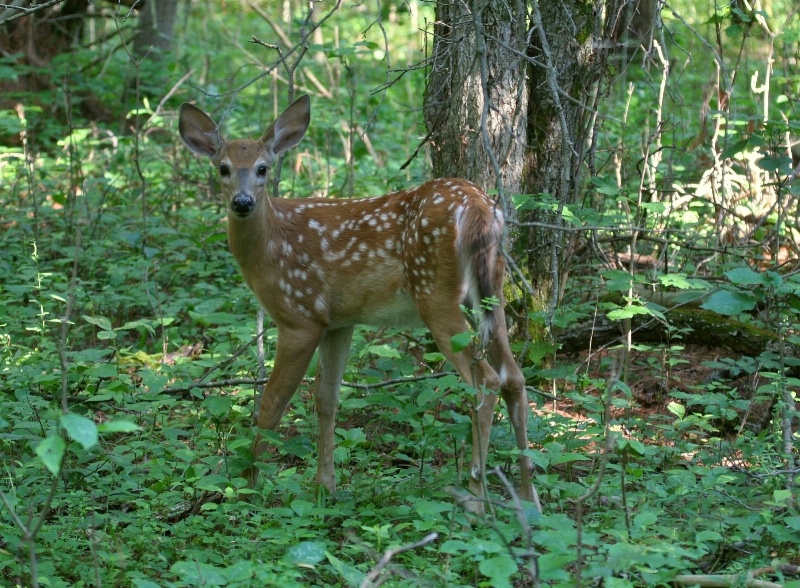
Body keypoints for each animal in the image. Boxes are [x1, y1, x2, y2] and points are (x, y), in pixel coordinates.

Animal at [178, 94, 536, 512]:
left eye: (263, 168)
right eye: (223, 168)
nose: (242, 202)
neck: (272, 245)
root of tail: (479, 205)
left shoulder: (299, 316)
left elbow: (272, 404)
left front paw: (249, 484)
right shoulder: (339, 321)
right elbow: (327, 399)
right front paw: (325, 488)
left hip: (436, 294)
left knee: (486, 380)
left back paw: (476, 500)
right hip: (492, 287)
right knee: (514, 377)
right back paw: (529, 498)